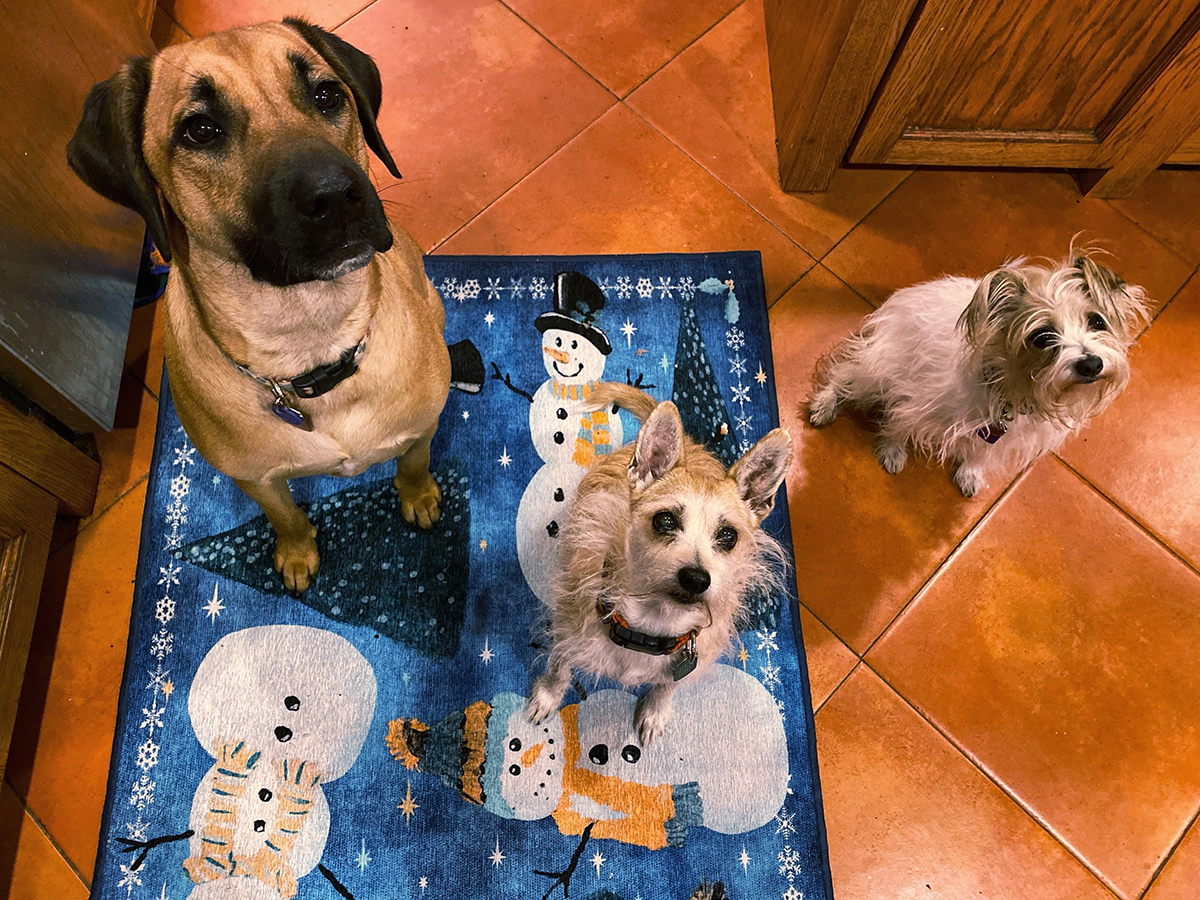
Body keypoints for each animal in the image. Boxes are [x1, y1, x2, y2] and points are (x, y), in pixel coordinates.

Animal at [71, 19, 453, 592]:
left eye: (326, 95)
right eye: (200, 130)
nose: (335, 196)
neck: (311, 342)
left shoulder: (424, 426)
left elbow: (414, 461)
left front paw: (420, 496)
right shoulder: (255, 479)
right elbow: (284, 514)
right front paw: (296, 554)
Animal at [811, 247, 1147, 496]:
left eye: (1097, 321)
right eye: (1042, 337)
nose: (1091, 364)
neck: (1013, 390)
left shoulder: (999, 438)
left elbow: (980, 454)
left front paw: (970, 472)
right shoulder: (919, 400)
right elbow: (898, 423)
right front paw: (892, 449)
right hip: (876, 367)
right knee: (843, 375)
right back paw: (825, 404)